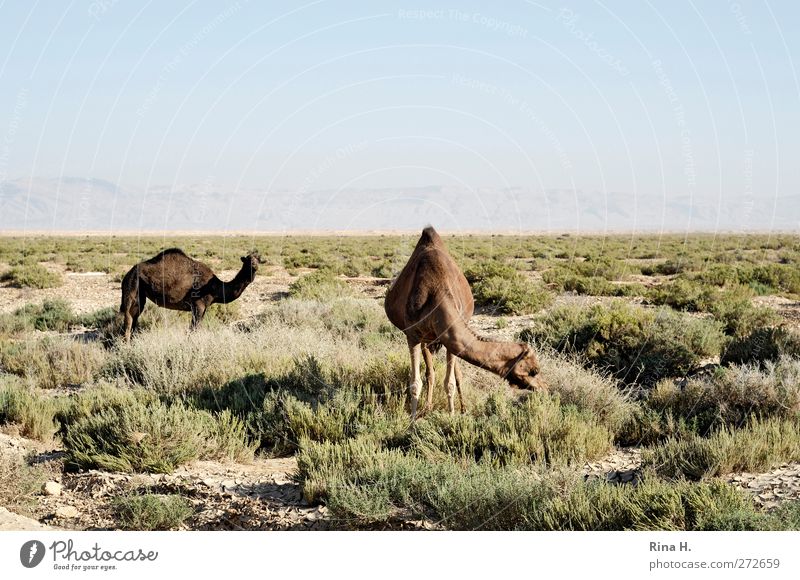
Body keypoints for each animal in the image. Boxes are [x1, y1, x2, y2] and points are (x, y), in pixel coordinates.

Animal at [120, 248, 262, 340]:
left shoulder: (203, 308)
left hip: (140, 295)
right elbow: (193, 329)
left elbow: (196, 328)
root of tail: (127, 273)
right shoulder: (198, 305)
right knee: (128, 318)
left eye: (258, 259)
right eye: (247, 260)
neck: (214, 287)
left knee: (134, 317)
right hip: (131, 286)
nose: (254, 265)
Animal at [384, 225, 548, 416]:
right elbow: (415, 383)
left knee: (454, 374)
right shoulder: (412, 336)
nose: (545, 388)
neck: (436, 293)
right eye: (534, 371)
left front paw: (452, 416)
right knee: (430, 372)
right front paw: (412, 421)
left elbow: (449, 383)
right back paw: (428, 407)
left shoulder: (449, 334)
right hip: (427, 338)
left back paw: (461, 408)